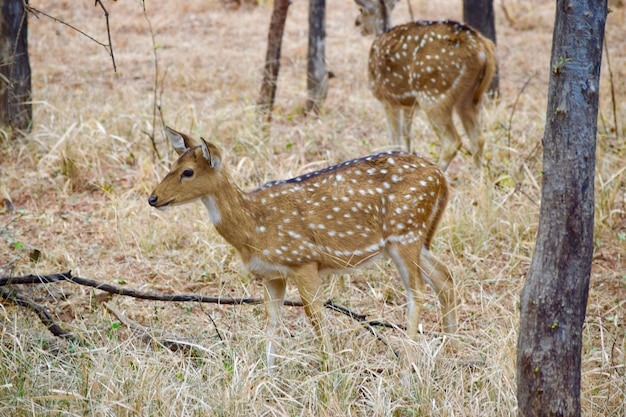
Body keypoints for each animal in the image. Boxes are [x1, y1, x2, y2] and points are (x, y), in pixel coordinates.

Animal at [149, 127, 456, 368]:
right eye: (171, 166)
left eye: (188, 172)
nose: (153, 198)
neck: (254, 230)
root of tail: (441, 177)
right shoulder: (272, 274)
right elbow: (272, 322)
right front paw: (268, 375)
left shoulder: (304, 260)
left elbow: (315, 316)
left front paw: (330, 369)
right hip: (415, 238)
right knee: (444, 277)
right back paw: (451, 350)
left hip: (405, 232)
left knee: (417, 291)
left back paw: (406, 365)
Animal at [354, 0, 494, 171]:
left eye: (361, 10)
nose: (357, 23)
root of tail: (483, 49)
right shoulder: (408, 104)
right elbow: (406, 137)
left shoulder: (387, 99)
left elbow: (395, 139)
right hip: (470, 98)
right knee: (478, 139)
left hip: (434, 94)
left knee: (452, 142)